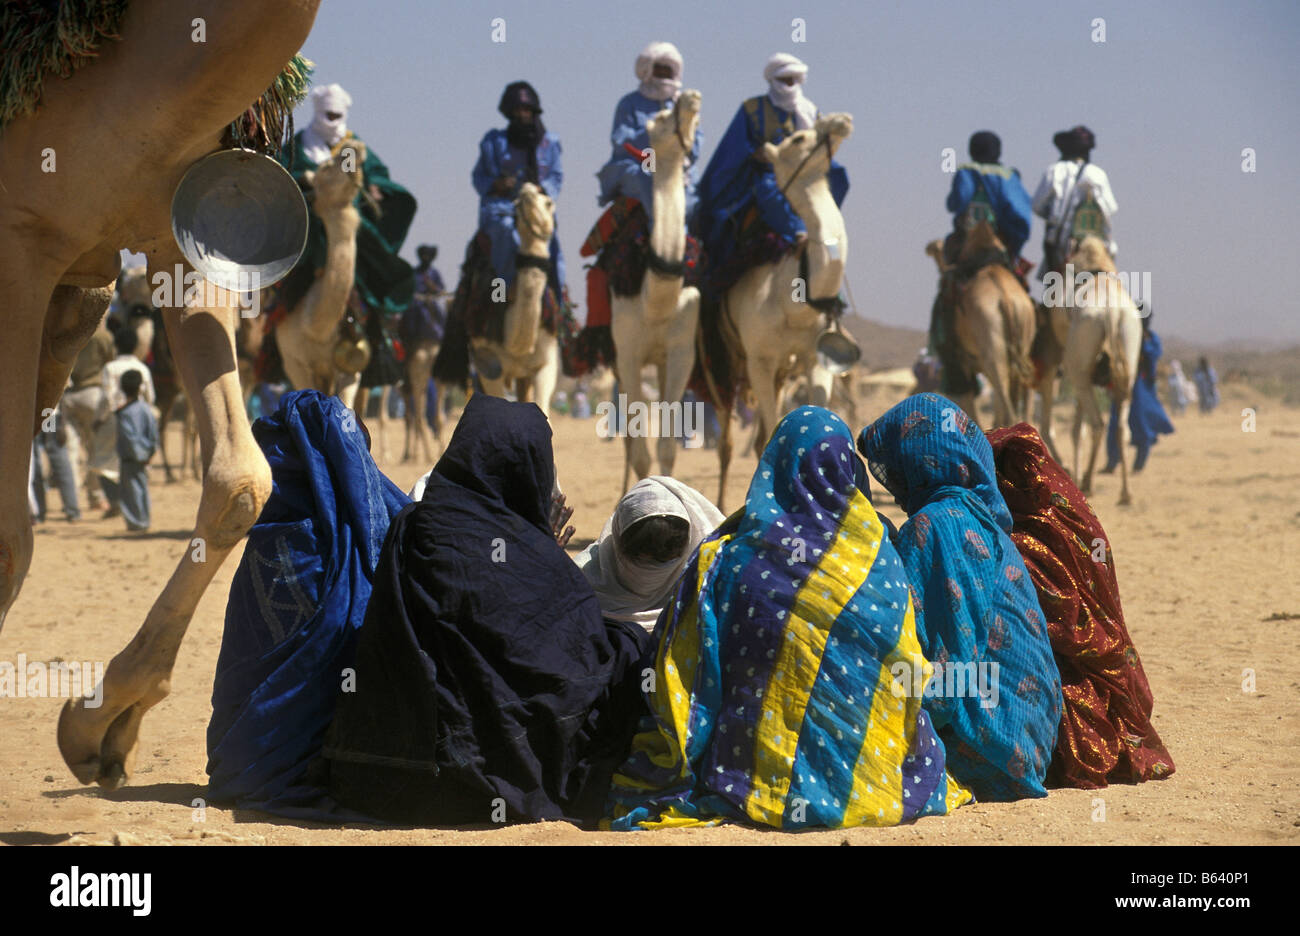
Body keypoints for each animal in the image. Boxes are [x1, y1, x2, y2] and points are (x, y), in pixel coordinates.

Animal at [0, 0, 322, 790]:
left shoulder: (181, 240)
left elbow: (241, 481)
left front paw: (103, 722)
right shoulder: (18, 239)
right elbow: (9, 533)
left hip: (79, 303)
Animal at [712, 114, 852, 512]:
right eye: (798, 139)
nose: (839, 120)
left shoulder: (815, 358)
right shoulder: (760, 358)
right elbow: (771, 433)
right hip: (722, 364)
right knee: (726, 441)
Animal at [925, 224, 1034, 428]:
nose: (929, 246)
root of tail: (1006, 299)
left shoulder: (961, 364)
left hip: (991, 349)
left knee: (1007, 409)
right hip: (1021, 339)